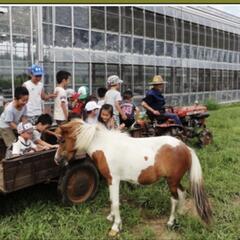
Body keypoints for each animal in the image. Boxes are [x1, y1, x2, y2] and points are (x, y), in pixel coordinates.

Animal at [54, 120, 212, 236]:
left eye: (62, 140)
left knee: (174, 198)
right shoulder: (110, 180)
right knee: (182, 193)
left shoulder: (114, 180)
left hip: (171, 181)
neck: (106, 147)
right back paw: (180, 213)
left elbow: (116, 202)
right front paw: (111, 217)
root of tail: (185, 147)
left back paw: (171, 222)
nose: (57, 160)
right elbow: (111, 200)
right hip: (174, 180)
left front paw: (116, 226)